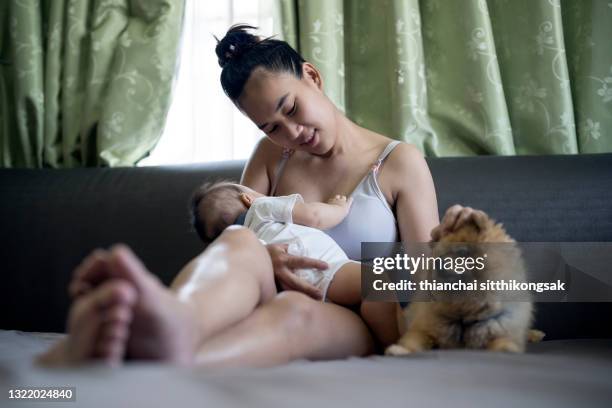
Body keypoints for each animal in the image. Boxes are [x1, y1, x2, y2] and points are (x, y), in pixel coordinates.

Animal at [388, 210, 544, 354]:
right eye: (440, 255)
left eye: (462, 252)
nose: (438, 262)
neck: (464, 312)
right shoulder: (423, 327)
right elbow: (414, 340)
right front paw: (400, 350)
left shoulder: (499, 327)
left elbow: (504, 342)